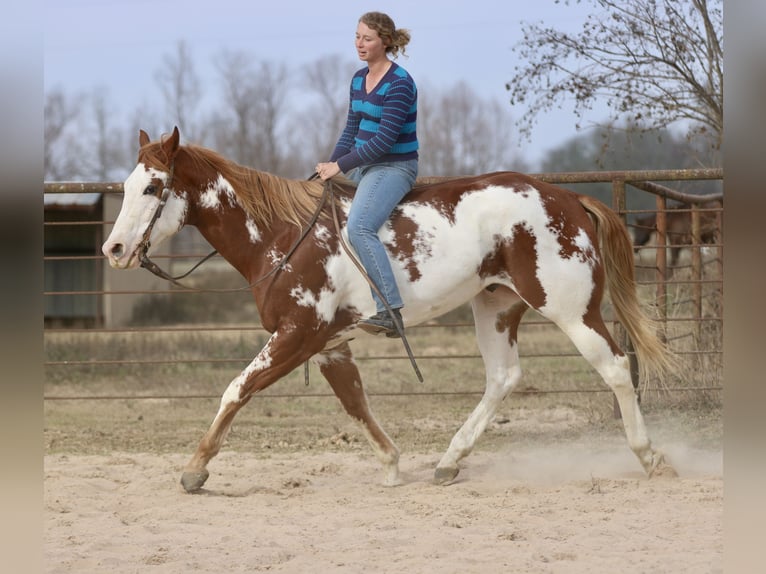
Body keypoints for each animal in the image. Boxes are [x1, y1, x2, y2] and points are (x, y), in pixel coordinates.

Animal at [102, 127, 678, 493]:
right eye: (127, 186)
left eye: (153, 186)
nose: (113, 249)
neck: (281, 237)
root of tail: (568, 199)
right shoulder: (328, 346)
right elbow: (355, 404)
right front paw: (392, 464)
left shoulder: (297, 335)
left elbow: (236, 389)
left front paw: (195, 469)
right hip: (496, 306)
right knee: (503, 378)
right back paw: (448, 463)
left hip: (570, 309)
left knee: (615, 367)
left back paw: (652, 457)